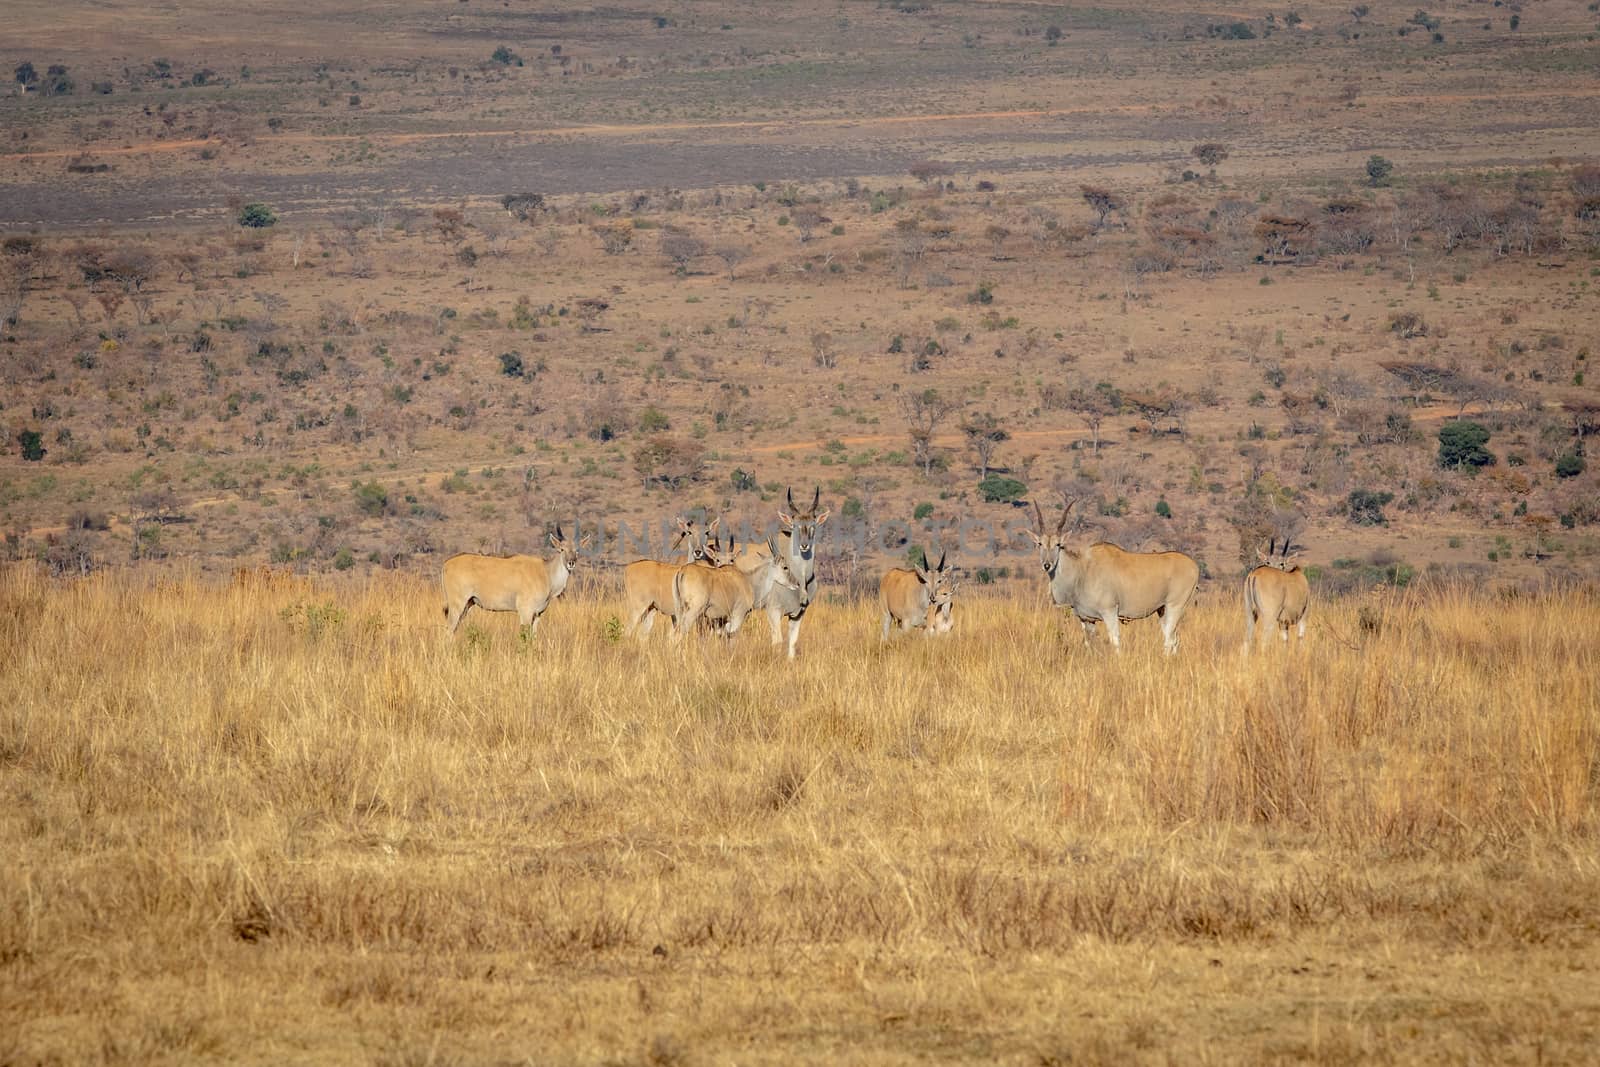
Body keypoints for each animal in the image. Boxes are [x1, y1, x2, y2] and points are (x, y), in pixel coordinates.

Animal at [441, 524, 585, 633]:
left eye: (577, 550)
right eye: (562, 549)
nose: (571, 563)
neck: (546, 572)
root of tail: (446, 564)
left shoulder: (537, 615)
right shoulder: (525, 612)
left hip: (468, 604)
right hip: (457, 604)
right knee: (449, 630)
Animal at [1030, 505, 1196, 655]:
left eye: (1058, 544)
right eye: (1040, 544)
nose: (1047, 565)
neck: (1082, 570)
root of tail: (1194, 565)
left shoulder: (1109, 612)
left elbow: (1115, 641)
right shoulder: (1087, 619)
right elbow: (1089, 644)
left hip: (1175, 606)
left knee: (1169, 639)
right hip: (1162, 610)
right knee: (1174, 638)